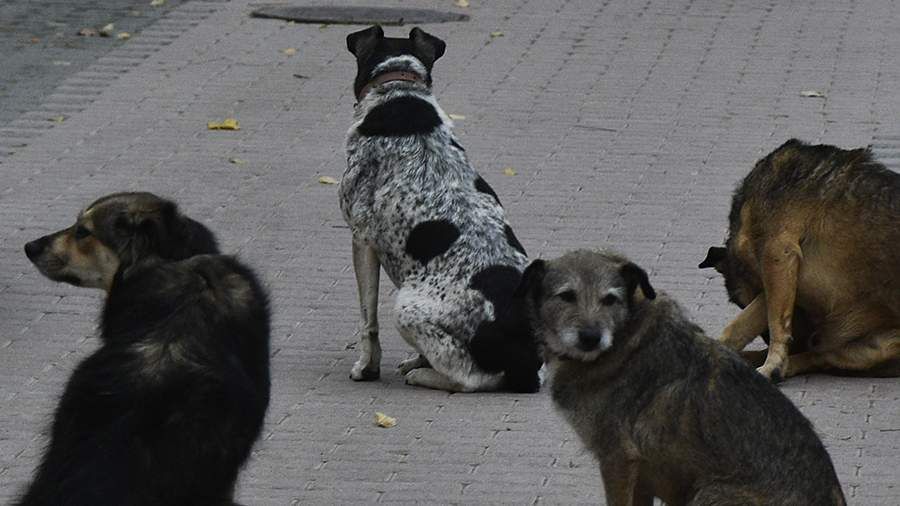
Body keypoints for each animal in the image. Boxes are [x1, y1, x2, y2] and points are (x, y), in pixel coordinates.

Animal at [340, 25, 540, 394]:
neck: (399, 86)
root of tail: (527, 364)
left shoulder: (361, 239)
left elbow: (367, 318)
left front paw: (367, 367)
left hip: (405, 307)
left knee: (470, 378)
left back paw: (425, 376)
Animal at [516, 250, 848, 506]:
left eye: (610, 299)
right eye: (566, 296)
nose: (590, 337)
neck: (625, 340)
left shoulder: (618, 459)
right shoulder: (641, 476)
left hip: (706, 492)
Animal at [704, 138, 900, 380]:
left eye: (740, 302)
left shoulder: (777, 254)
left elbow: (774, 321)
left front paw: (773, 362)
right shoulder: (781, 273)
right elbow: (742, 324)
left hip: (877, 346)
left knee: (819, 358)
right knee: (818, 357)